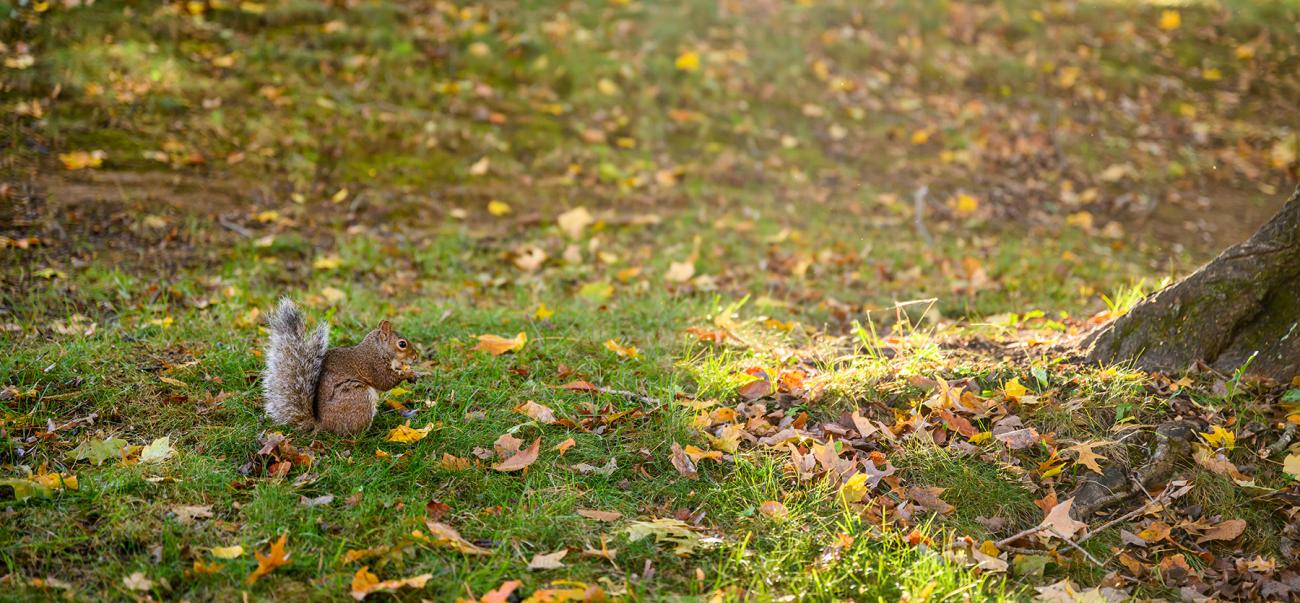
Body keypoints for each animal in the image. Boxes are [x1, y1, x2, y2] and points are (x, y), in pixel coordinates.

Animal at [262, 298, 418, 436]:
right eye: (402, 344)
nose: (416, 356)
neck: (378, 349)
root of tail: (322, 424)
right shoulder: (373, 365)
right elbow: (385, 381)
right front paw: (408, 374)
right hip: (358, 397)